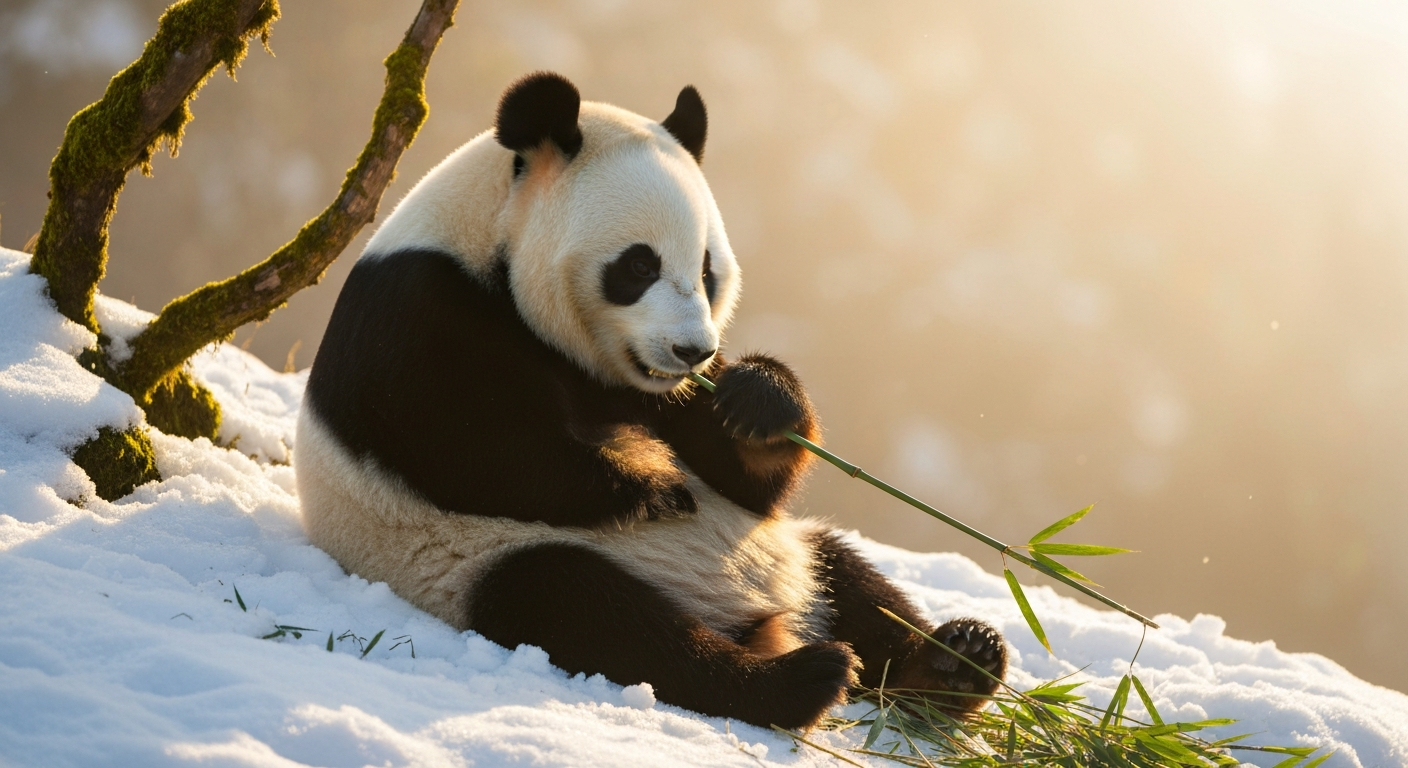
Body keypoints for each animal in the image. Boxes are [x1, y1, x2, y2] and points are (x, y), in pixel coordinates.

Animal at [297, 72, 1007, 730]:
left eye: (707, 271)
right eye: (638, 266)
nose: (693, 351)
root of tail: (756, 623)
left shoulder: (656, 390)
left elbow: (744, 478)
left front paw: (758, 402)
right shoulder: (417, 308)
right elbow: (462, 446)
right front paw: (652, 487)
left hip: (794, 555)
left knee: (852, 580)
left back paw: (957, 661)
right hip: (474, 562)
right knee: (593, 615)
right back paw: (798, 680)